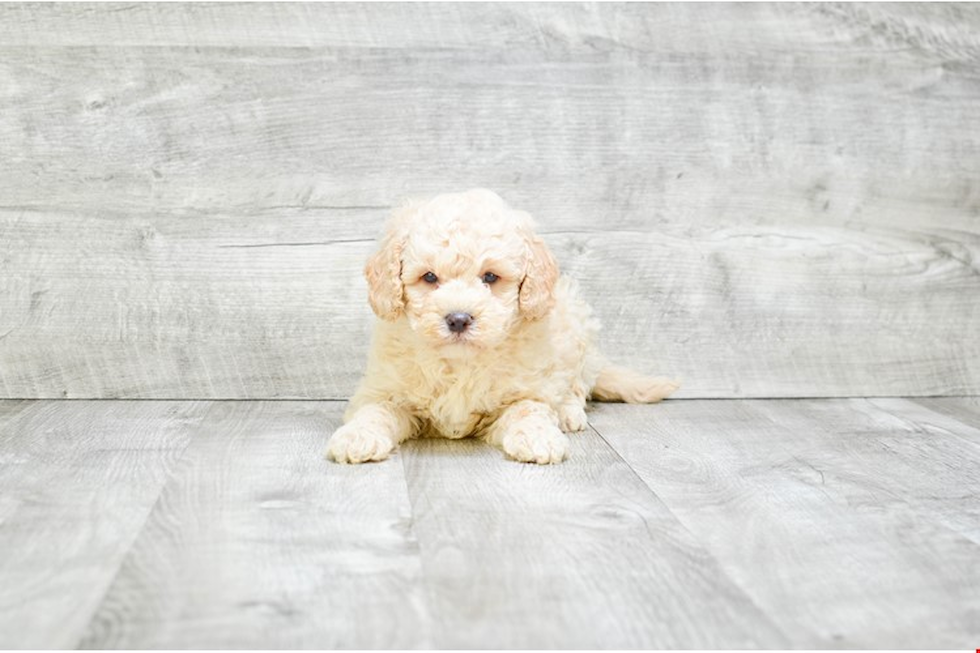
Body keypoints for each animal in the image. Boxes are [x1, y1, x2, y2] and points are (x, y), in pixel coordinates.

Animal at [326, 188, 676, 464]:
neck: (460, 363)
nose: (458, 319)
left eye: (491, 277)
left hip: (578, 330)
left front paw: (538, 438)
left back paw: (568, 413)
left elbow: (528, 409)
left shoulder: (528, 388)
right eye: (429, 277)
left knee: (577, 385)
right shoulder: (385, 389)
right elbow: (374, 411)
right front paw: (356, 437)